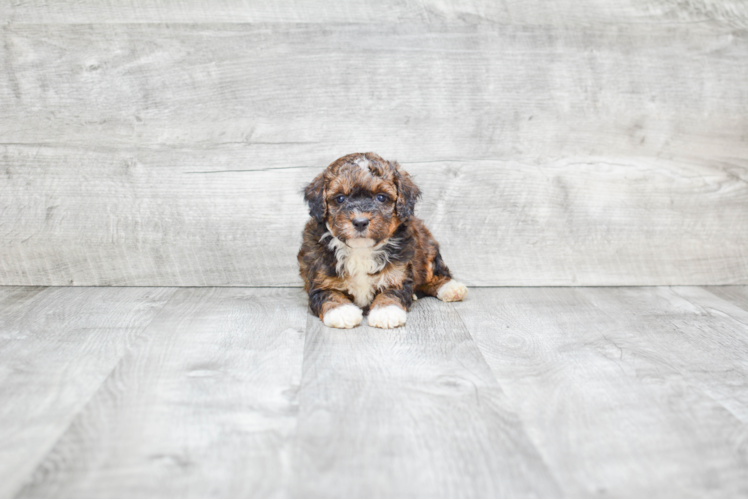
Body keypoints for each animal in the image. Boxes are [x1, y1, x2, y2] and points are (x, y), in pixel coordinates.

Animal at [296, 154, 464, 330]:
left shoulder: (399, 273)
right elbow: (330, 293)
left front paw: (386, 312)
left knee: (435, 273)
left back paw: (451, 288)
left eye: (381, 197)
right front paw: (342, 312)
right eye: (340, 198)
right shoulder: (319, 279)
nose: (360, 222)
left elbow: (391, 292)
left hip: (427, 247)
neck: (361, 250)